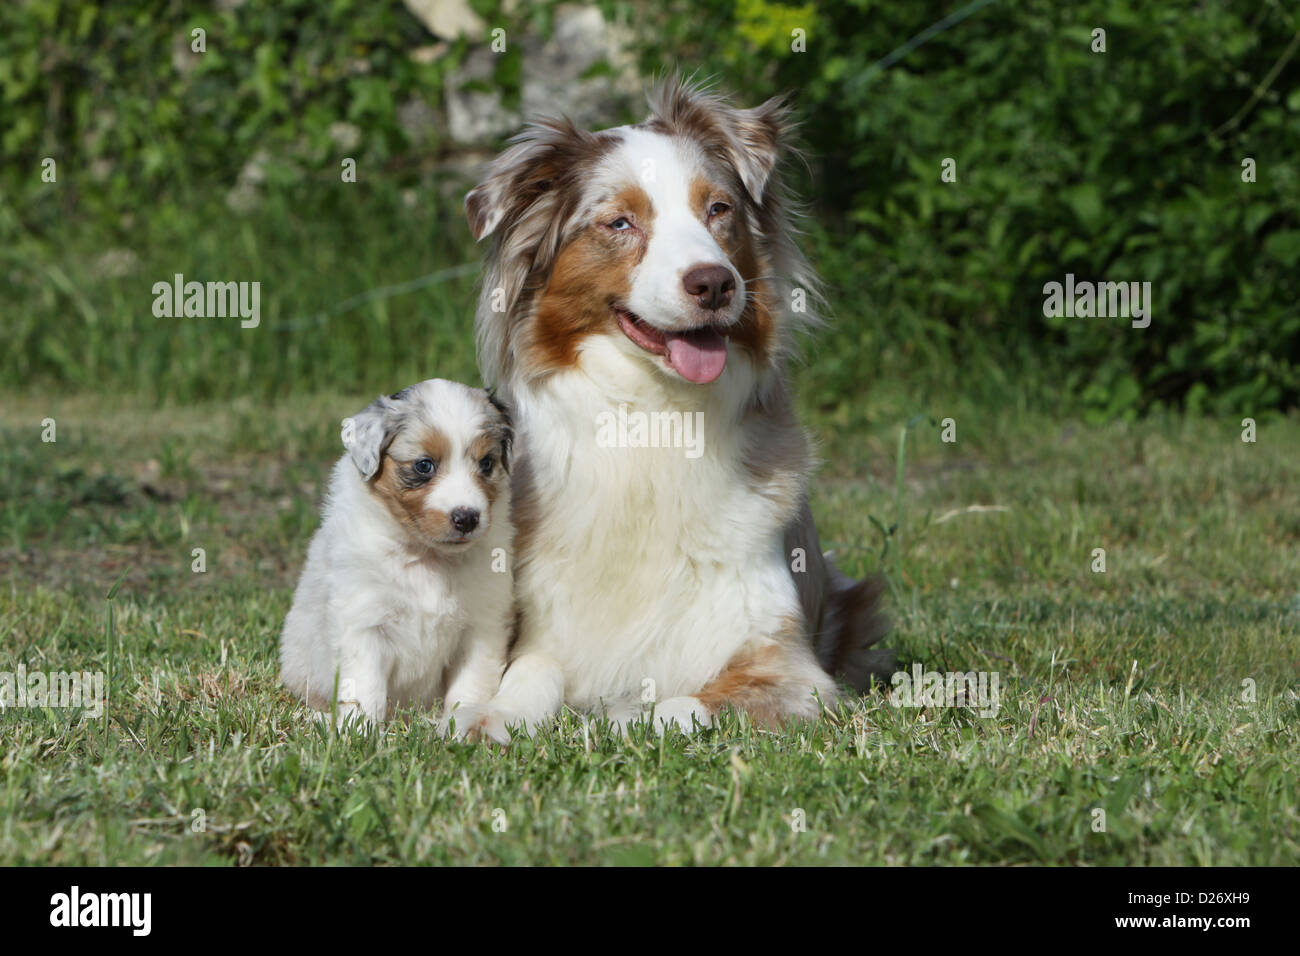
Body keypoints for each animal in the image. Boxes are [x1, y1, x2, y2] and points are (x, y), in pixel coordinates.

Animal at [282, 379, 514, 723]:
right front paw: (361, 730)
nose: (467, 518)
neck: (427, 555)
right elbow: (365, 688)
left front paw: (461, 721)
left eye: (486, 463)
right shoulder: (364, 620)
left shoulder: (481, 625)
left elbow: (470, 685)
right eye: (424, 465)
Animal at [457, 78, 894, 743]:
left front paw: (614, 723)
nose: (713, 283)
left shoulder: (791, 673)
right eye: (620, 222)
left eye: (718, 210)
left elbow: (675, 708)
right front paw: (492, 717)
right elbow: (528, 678)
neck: (655, 417)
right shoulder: (547, 636)